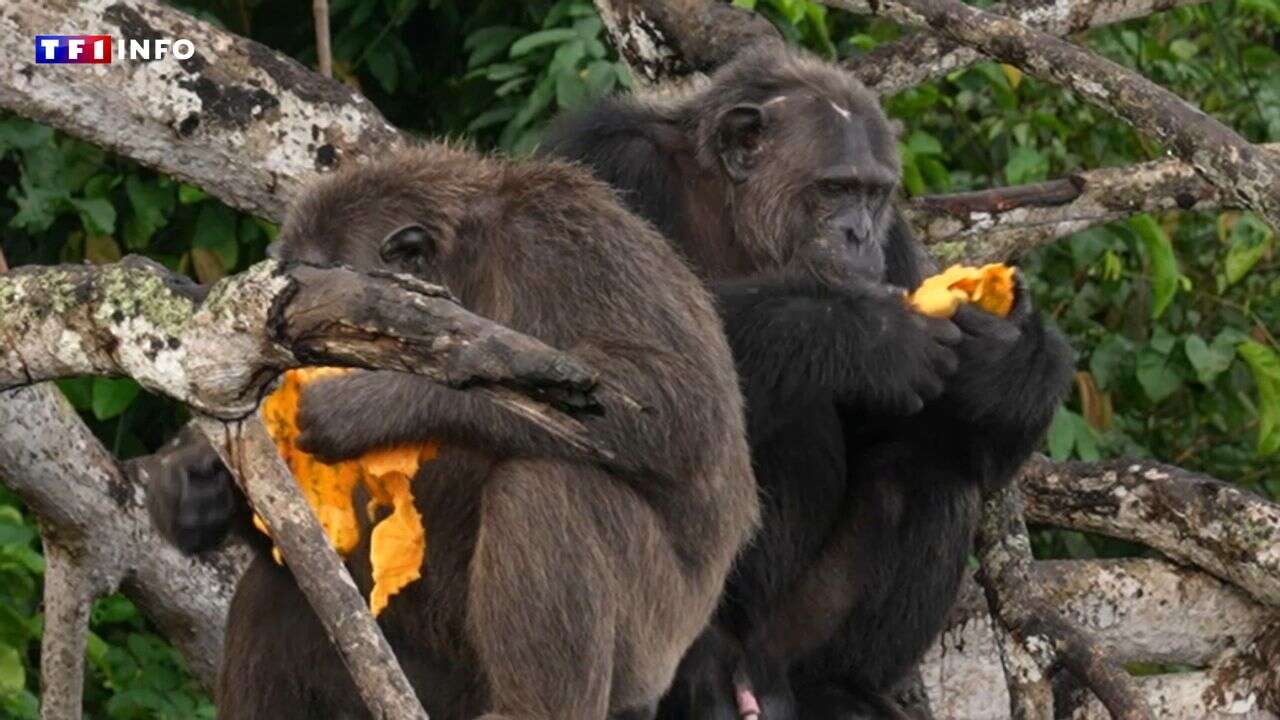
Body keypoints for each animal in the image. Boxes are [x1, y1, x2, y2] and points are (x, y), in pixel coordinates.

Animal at [140, 141, 757, 717]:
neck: (471, 271)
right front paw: (191, 482)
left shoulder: (574, 242)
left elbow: (673, 398)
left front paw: (372, 403)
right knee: (272, 601)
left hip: (641, 658)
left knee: (549, 482)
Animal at [540, 41, 1070, 712]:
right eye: (833, 188)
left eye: (871, 194)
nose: (858, 232)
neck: (734, 211)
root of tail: (751, 669)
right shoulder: (609, 160)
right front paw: (868, 332)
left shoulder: (897, 242)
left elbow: (949, 442)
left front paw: (1011, 355)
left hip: (790, 634)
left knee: (929, 465)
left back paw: (839, 687)